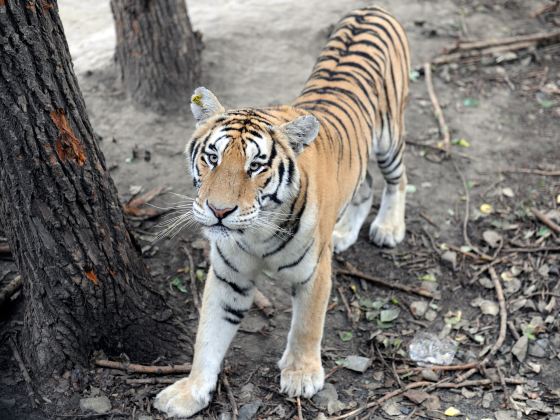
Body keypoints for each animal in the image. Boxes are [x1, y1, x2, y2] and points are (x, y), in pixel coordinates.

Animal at [155, 4, 410, 418]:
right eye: (212, 157)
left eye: (256, 166)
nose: (219, 211)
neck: (255, 233)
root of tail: (371, 8)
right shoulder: (228, 277)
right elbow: (207, 337)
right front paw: (189, 392)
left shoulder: (314, 272)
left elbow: (307, 324)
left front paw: (301, 375)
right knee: (365, 184)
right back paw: (344, 232)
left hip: (389, 135)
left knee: (397, 178)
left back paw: (388, 226)